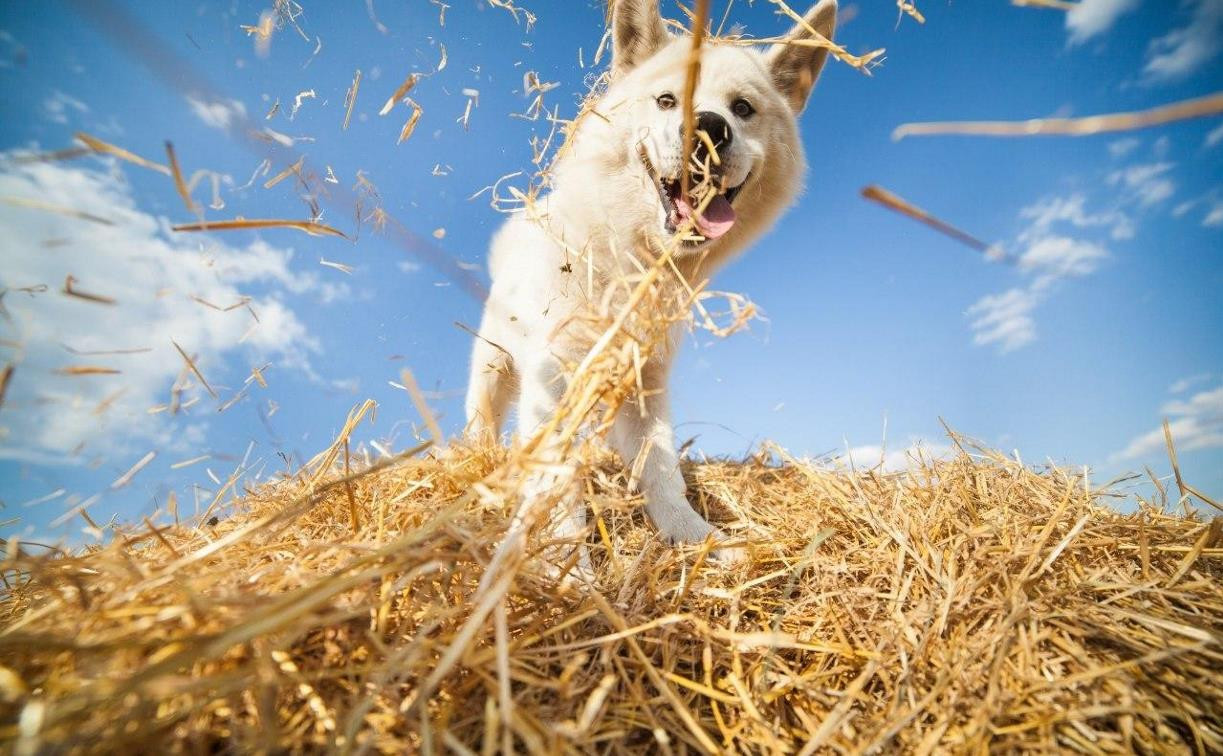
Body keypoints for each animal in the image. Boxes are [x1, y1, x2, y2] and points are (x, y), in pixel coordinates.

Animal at [462, 0, 836, 552]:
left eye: (743, 108)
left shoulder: (645, 385)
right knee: (480, 424)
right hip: (494, 367)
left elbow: (661, 471)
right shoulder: (552, 379)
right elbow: (555, 482)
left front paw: (696, 539)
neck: (629, 260)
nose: (709, 127)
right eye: (666, 100)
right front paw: (564, 562)